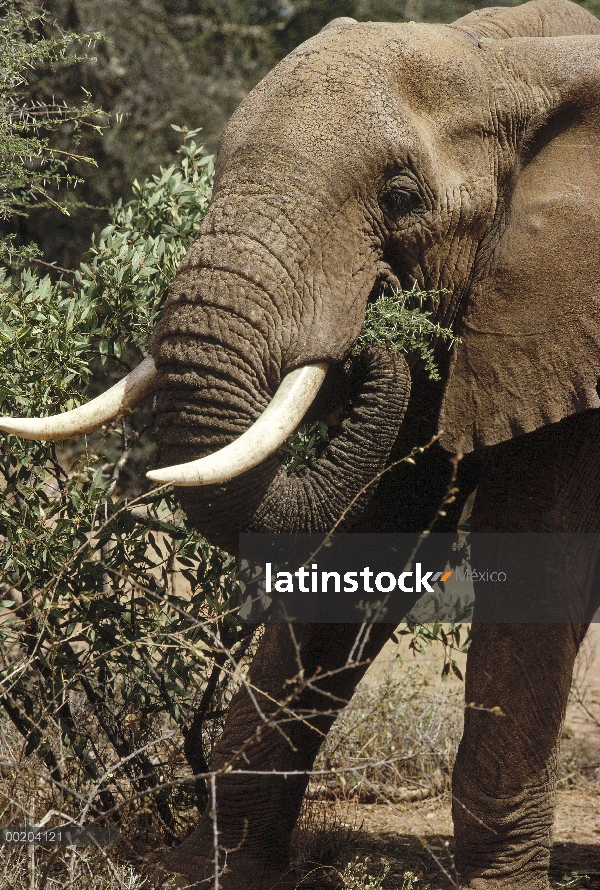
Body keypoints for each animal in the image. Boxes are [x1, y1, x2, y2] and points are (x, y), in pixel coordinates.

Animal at [3, 0, 600, 884]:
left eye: (400, 195)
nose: (376, 331)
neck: (508, 60)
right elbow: (370, 529)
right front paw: (207, 870)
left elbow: (540, 558)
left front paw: (502, 885)